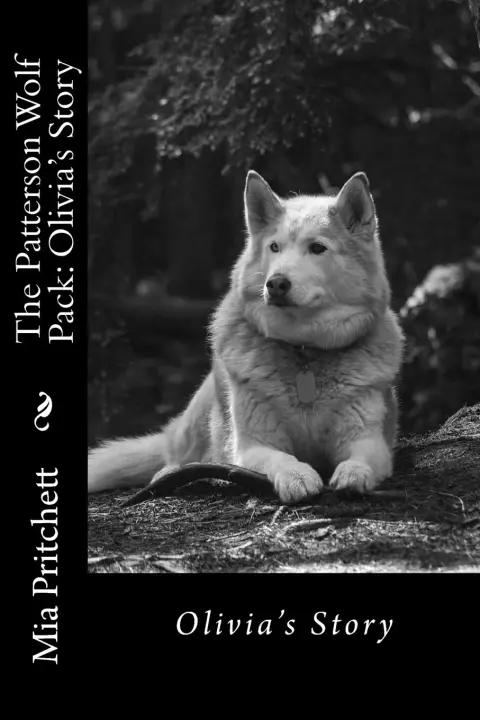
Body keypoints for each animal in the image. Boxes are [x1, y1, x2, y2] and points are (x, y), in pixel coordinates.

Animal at [88, 170, 404, 504]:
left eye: (318, 248)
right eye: (275, 247)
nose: (276, 283)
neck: (304, 351)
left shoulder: (370, 440)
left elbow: (361, 459)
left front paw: (354, 473)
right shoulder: (253, 445)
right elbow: (281, 458)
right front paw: (296, 476)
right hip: (201, 414)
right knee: (178, 456)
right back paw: (173, 471)